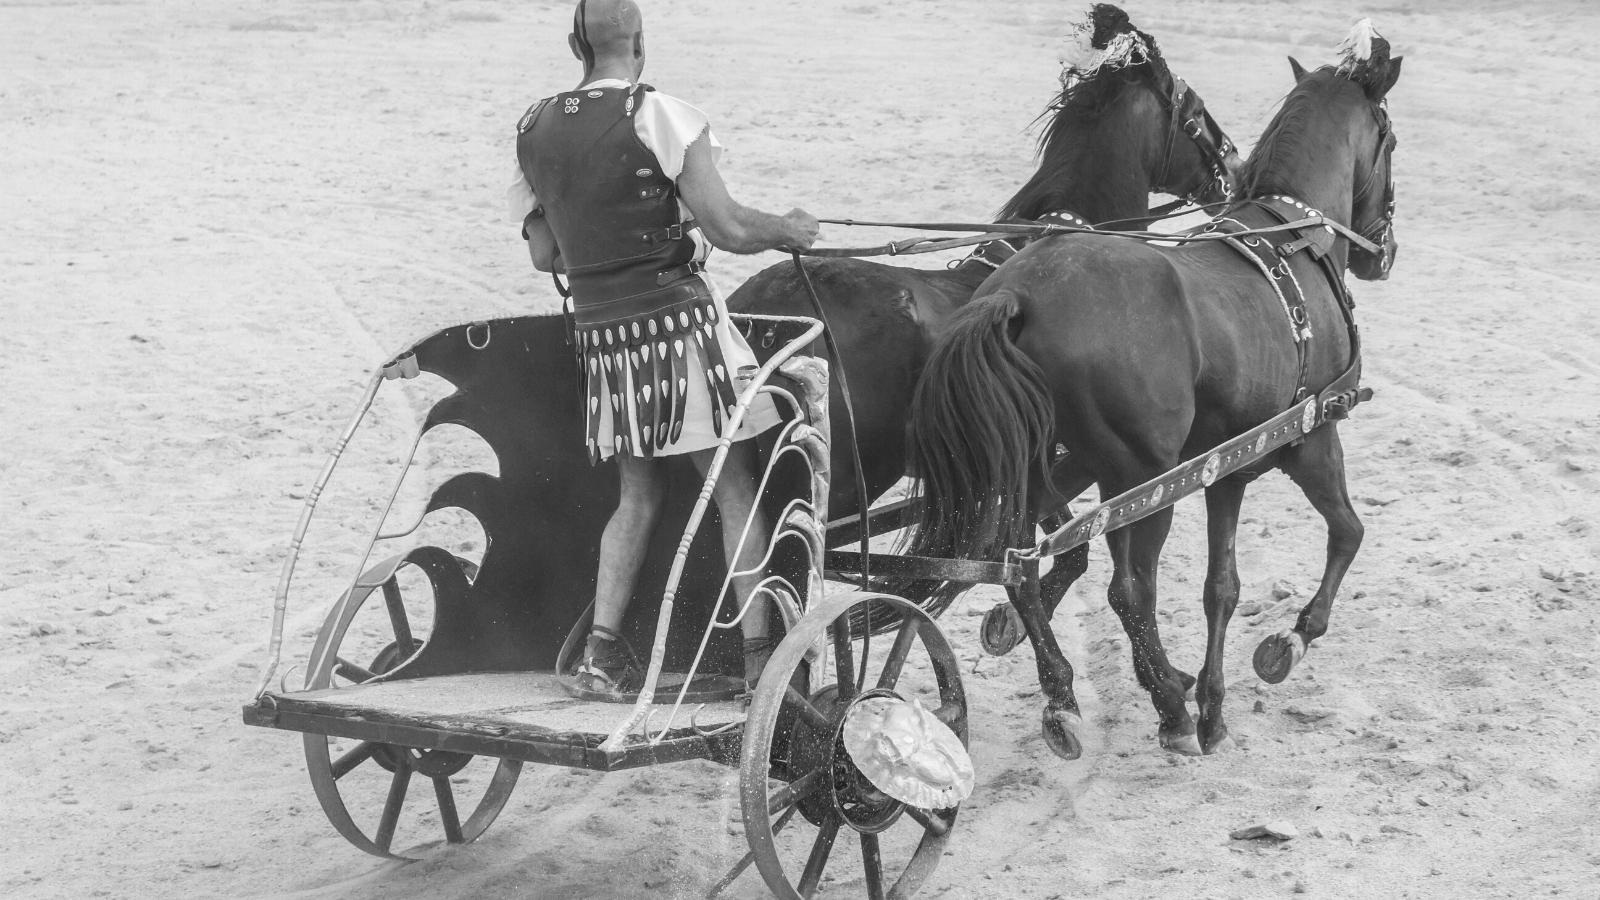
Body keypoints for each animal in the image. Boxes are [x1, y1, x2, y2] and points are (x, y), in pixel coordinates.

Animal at [904, 22, 1402, 759]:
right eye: (1390, 139)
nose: (1383, 252)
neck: (1294, 234)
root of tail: (1019, 294)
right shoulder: (1311, 439)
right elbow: (1349, 532)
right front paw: (1288, 642)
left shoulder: (1228, 469)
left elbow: (1221, 587)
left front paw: (1215, 701)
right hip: (1141, 478)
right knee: (1129, 589)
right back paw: (1166, 701)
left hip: (1052, 465)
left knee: (1019, 564)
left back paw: (1064, 694)